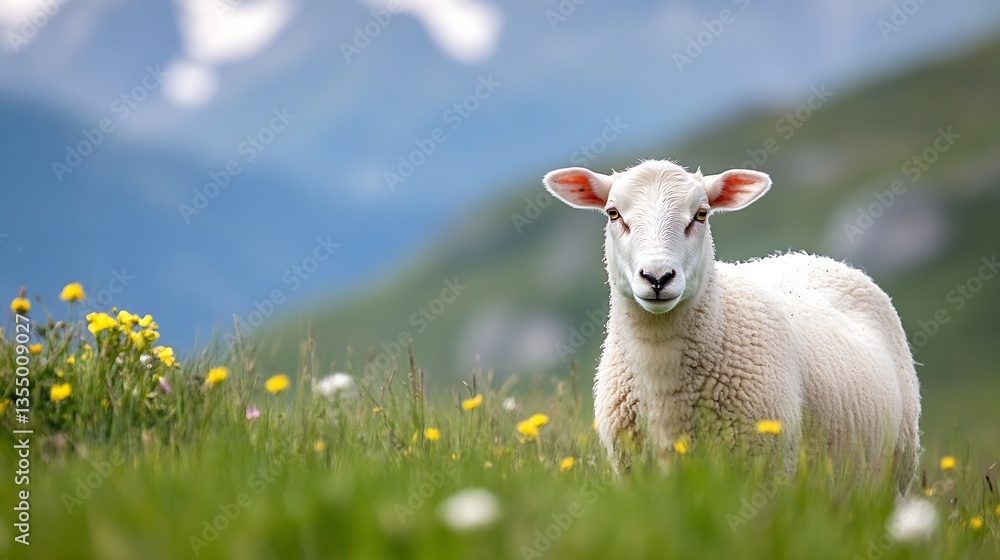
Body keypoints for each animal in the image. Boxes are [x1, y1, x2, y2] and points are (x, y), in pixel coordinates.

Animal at [543, 159, 921, 489]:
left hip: (896, 469)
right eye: (613, 213)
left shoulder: (765, 472)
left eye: (701, 214)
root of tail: (812, 257)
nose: (658, 278)